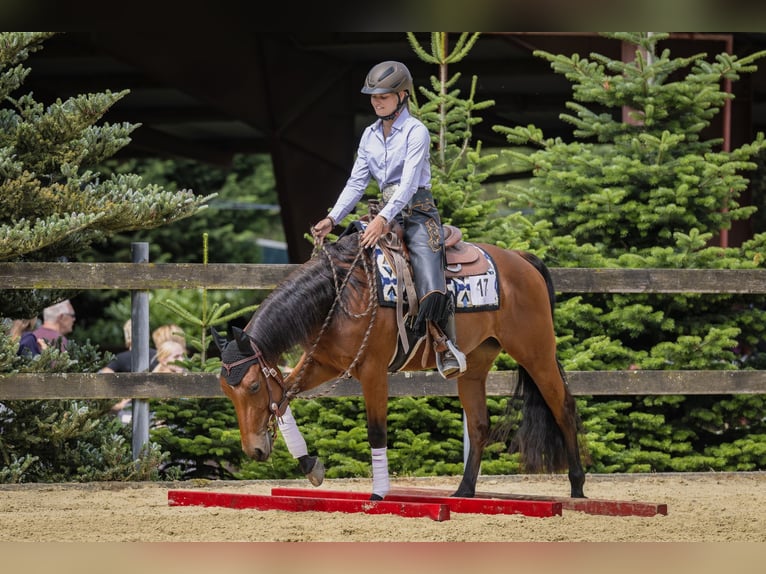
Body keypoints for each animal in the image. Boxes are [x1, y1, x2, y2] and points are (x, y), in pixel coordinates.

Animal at [213, 226, 587, 500]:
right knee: (479, 425)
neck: (343, 292)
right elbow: (283, 399)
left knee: (563, 407)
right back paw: (464, 491)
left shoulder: (373, 371)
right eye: (227, 392)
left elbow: (376, 430)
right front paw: (309, 465)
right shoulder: (322, 363)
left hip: (536, 352)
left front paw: (379, 492)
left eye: (253, 385)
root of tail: (521, 260)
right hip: (476, 363)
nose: (255, 450)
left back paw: (577, 486)